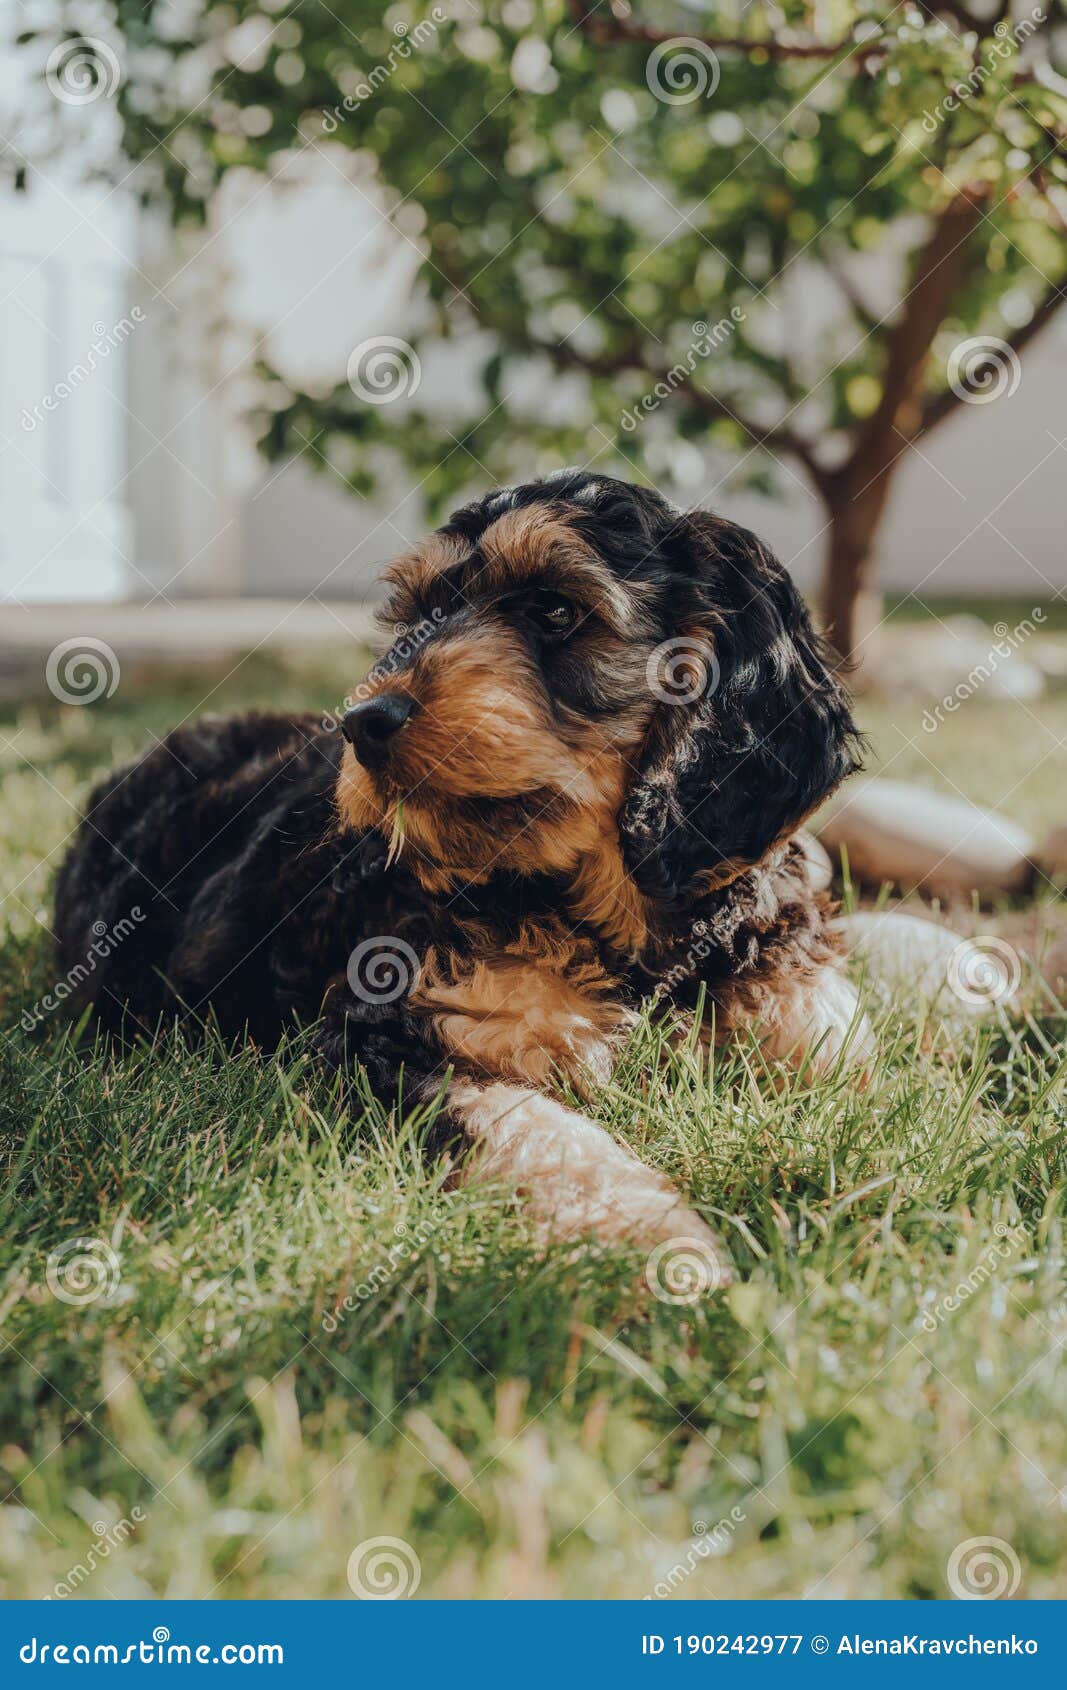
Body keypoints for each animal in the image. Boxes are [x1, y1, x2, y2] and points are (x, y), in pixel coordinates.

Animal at [56, 469, 865, 1270]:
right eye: (421, 613)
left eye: (556, 609)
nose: (364, 723)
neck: (614, 918)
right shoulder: (390, 1034)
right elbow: (531, 1128)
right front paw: (659, 1244)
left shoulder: (797, 991)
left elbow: (843, 1053)